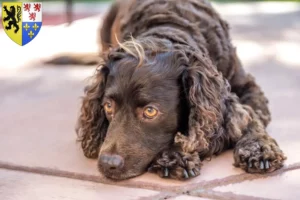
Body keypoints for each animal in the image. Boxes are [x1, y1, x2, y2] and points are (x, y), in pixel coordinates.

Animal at [47, 0, 286, 180]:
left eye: (150, 111)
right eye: (108, 106)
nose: (107, 164)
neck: (169, 27)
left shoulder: (248, 88)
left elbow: (251, 117)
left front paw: (259, 149)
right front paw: (176, 156)